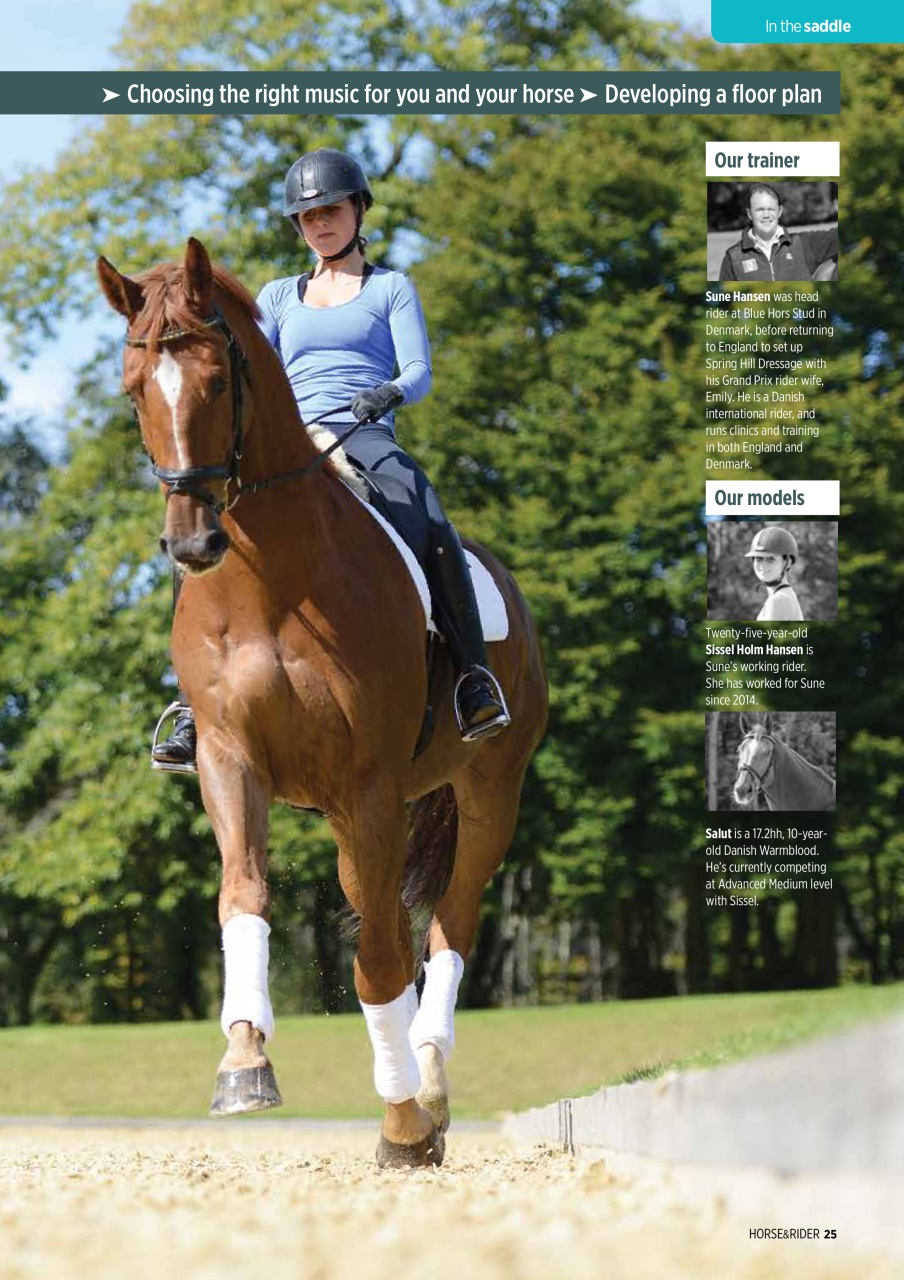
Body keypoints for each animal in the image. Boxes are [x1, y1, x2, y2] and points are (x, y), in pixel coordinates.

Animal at [96, 238, 548, 1168]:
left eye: (218, 383)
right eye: (133, 391)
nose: (192, 542)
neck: (270, 578)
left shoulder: (365, 783)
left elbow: (378, 954)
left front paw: (403, 1125)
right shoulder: (229, 760)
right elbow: (244, 897)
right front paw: (243, 1066)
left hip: (488, 792)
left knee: (447, 926)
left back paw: (428, 1087)